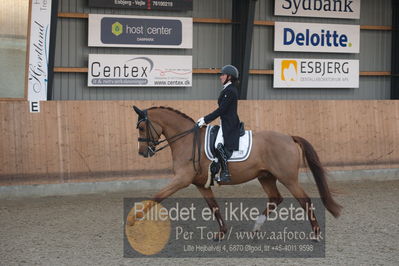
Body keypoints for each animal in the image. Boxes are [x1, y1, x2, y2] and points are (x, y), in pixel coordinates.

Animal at [128, 105, 340, 238]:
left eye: (141, 127)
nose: (142, 152)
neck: (186, 140)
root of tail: (289, 137)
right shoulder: (201, 184)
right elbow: (213, 206)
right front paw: (221, 233)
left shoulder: (181, 179)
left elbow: (157, 197)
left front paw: (132, 220)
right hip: (266, 177)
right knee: (275, 198)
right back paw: (256, 227)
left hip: (288, 178)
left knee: (305, 201)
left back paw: (316, 233)